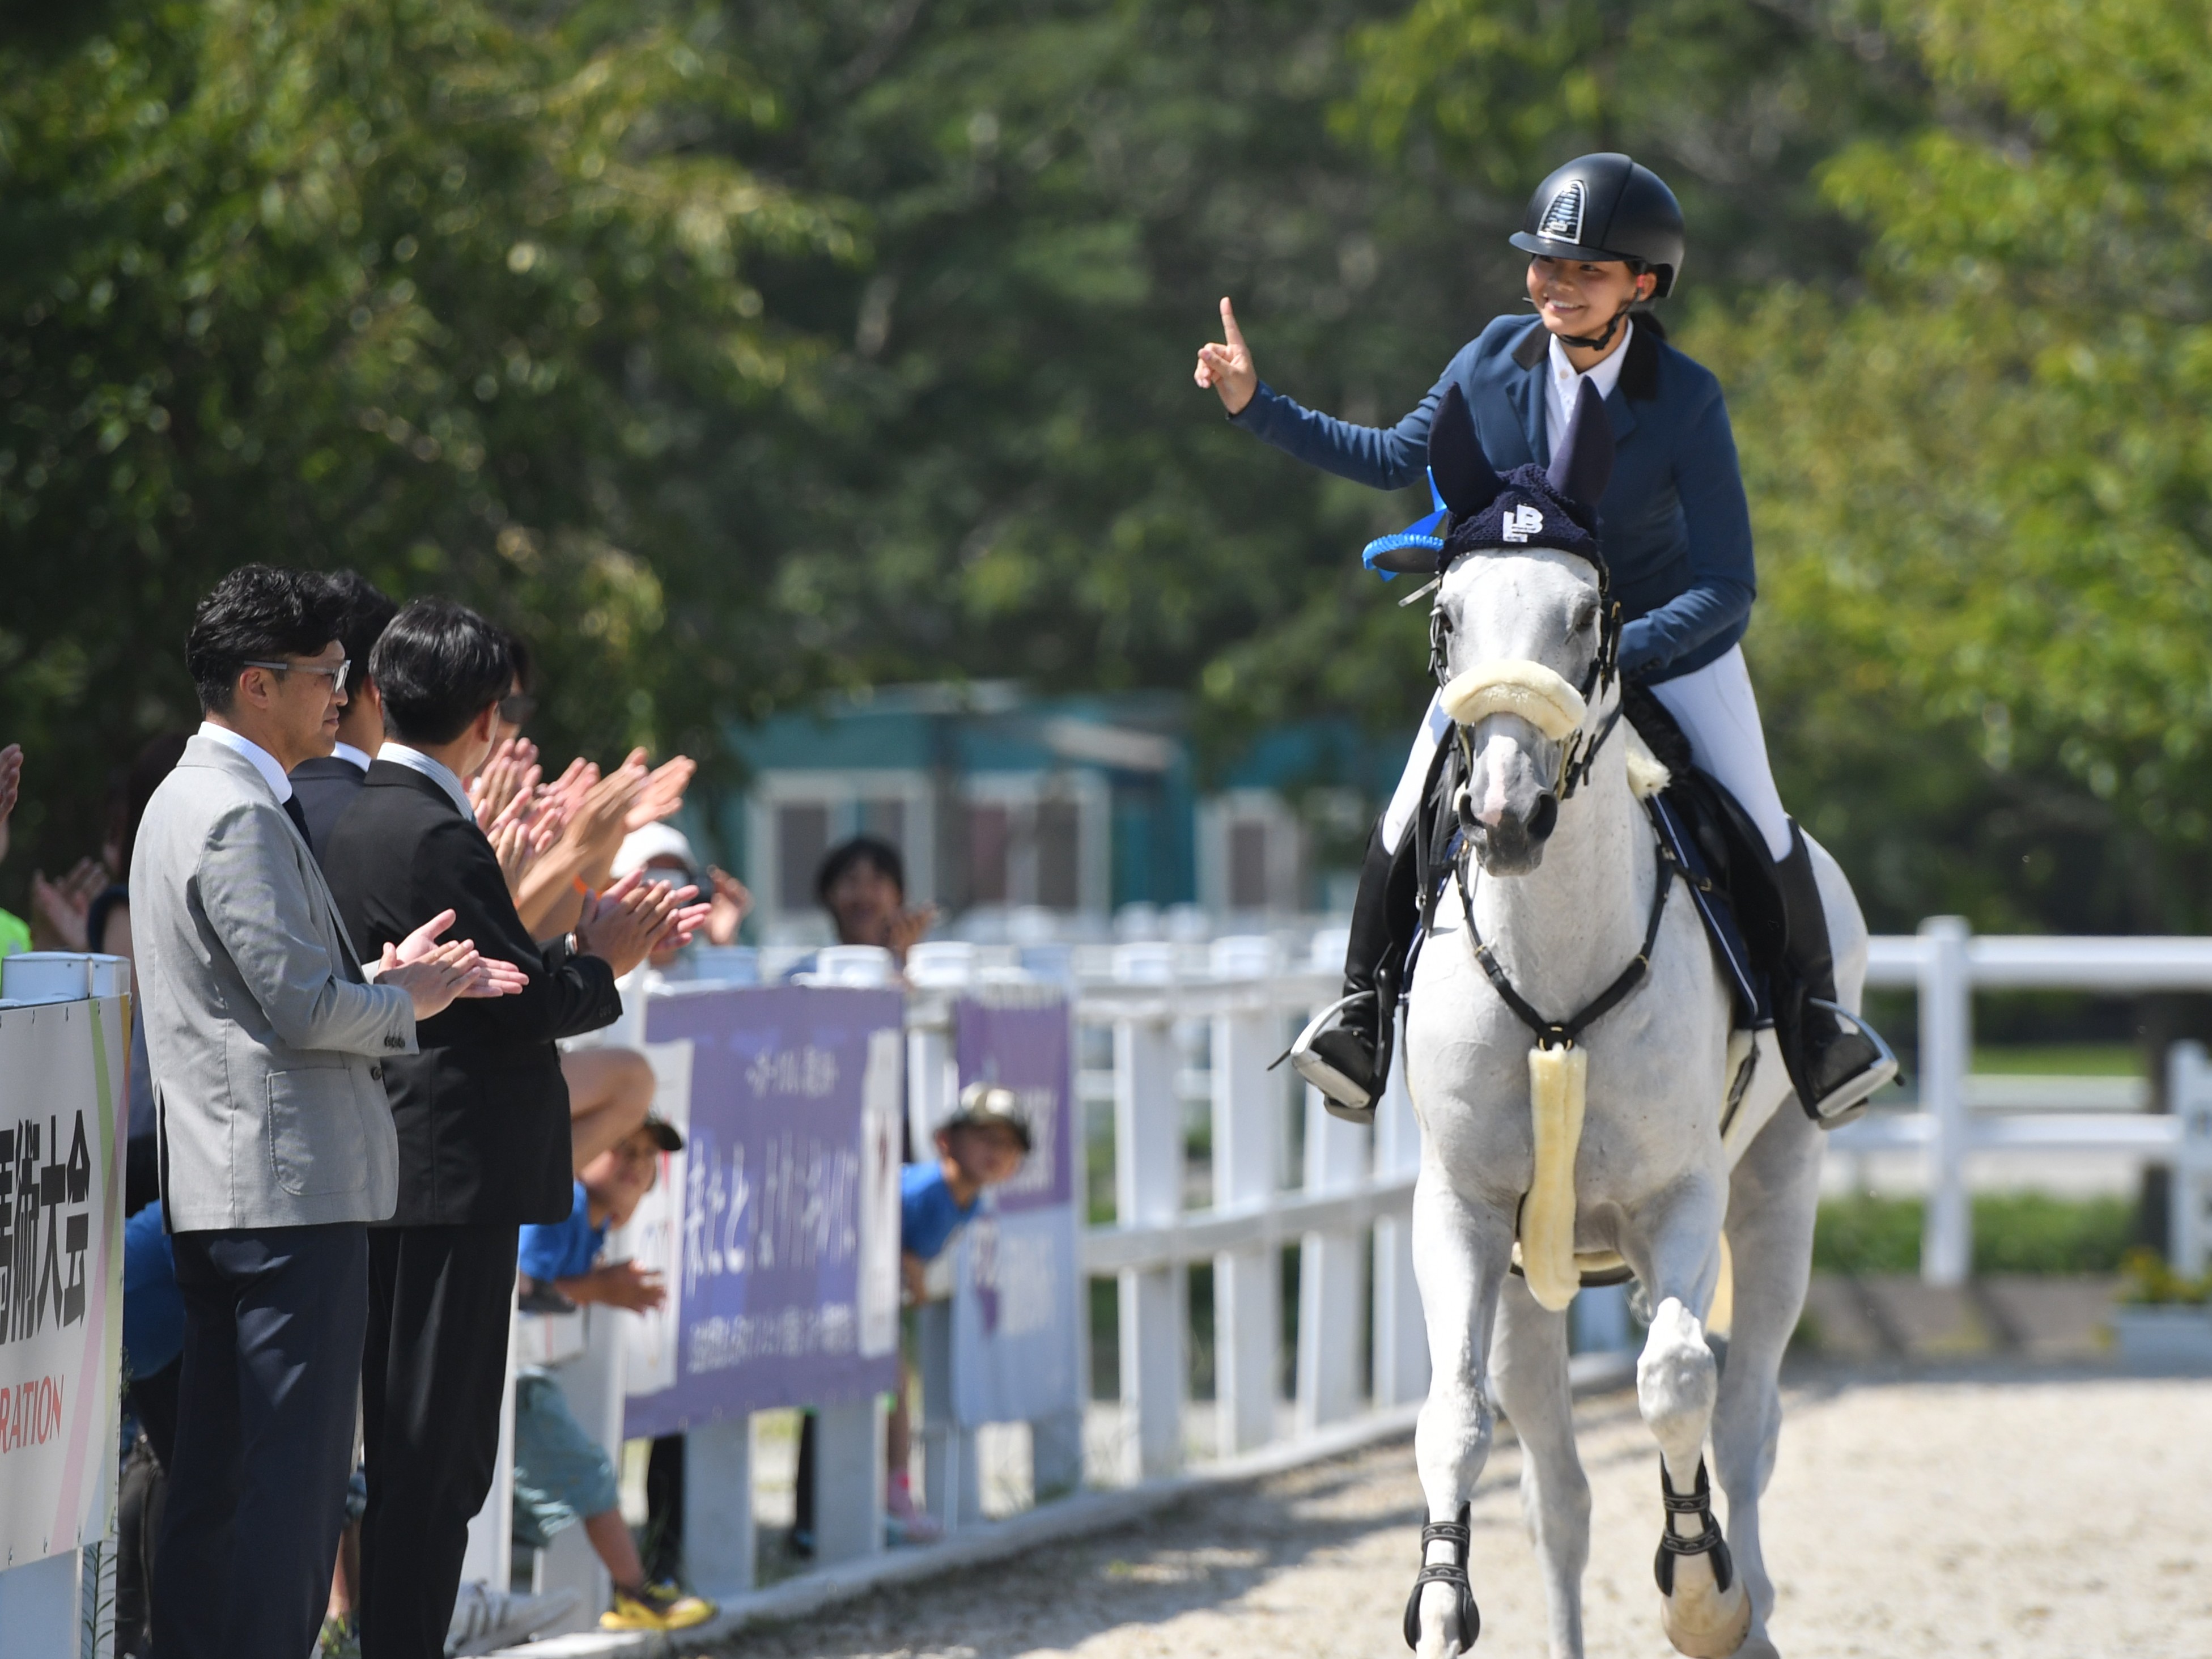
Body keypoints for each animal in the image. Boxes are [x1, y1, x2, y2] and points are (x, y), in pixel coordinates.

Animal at [1397, 388, 1867, 1659]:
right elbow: (1454, 1417)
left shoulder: (1680, 1199)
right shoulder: (1464, 1210)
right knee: (1557, 1490)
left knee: (1739, 1412)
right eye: (1447, 619)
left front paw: (1701, 1596)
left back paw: (1740, 1604)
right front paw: (1440, 1600)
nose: (1503, 816)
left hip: (1776, 1193)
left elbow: (1674, 1384)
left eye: (1584, 614)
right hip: (1529, 1280)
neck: (1556, 964)